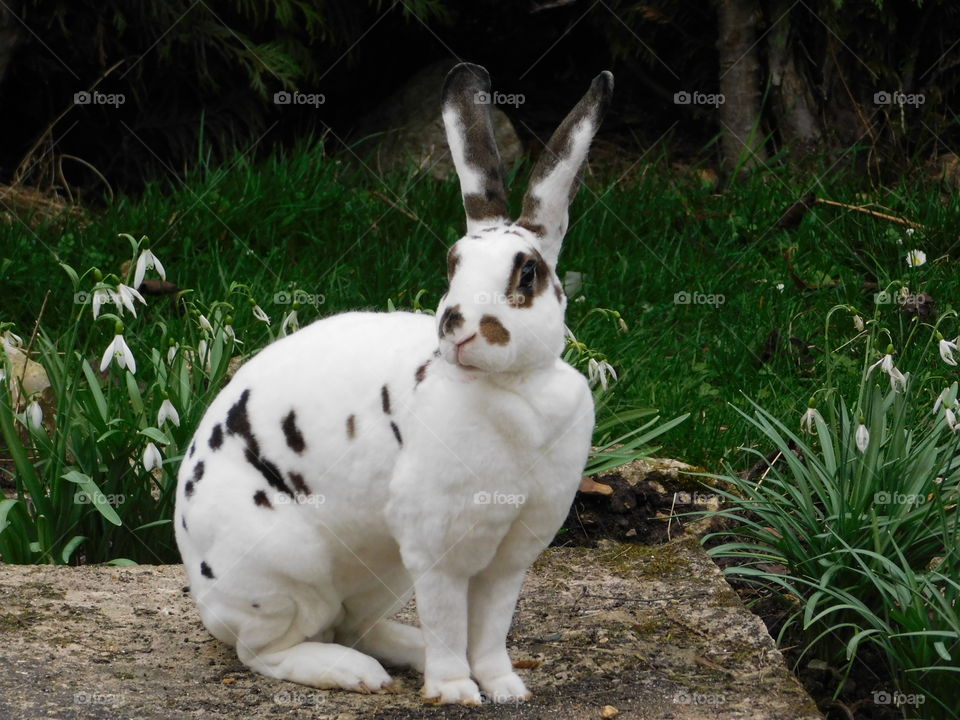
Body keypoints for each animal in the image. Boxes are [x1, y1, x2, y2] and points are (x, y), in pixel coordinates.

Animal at [174, 62, 613, 705]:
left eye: (528, 273)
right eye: (453, 262)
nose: (457, 327)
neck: (516, 388)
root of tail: (204, 597)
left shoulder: (510, 557)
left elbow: (491, 626)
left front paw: (505, 687)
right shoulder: (437, 549)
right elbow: (450, 616)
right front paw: (456, 690)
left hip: (380, 570)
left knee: (356, 625)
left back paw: (405, 651)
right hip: (287, 571)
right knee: (265, 652)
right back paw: (355, 673)